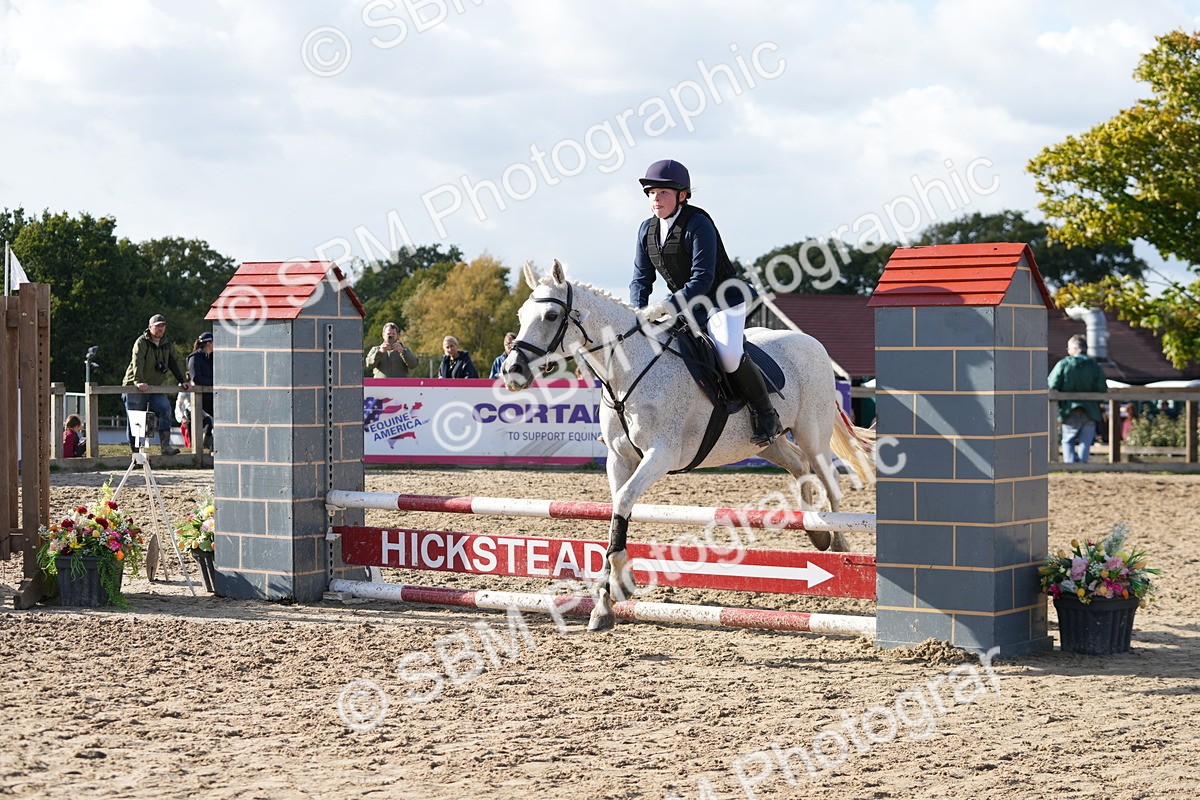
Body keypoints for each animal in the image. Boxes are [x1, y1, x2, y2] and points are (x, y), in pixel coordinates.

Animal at [501, 260, 875, 632]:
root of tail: (811, 342)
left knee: (828, 477)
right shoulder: (619, 458)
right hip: (766, 444)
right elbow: (617, 509)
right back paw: (814, 531)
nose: (511, 371)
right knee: (798, 466)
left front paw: (618, 586)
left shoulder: (660, 455)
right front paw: (606, 604)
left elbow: (623, 501)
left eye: (551, 315)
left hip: (812, 432)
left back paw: (837, 542)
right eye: (520, 315)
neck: (628, 370)